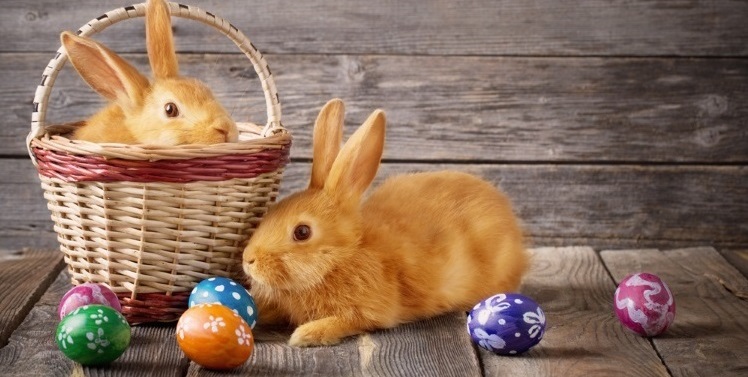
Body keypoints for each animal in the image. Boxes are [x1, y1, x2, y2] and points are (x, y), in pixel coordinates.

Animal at [243, 98, 528, 346]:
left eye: (302, 232)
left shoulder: (368, 311)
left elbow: (347, 321)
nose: (248, 260)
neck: (344, 256)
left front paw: (306, 334)